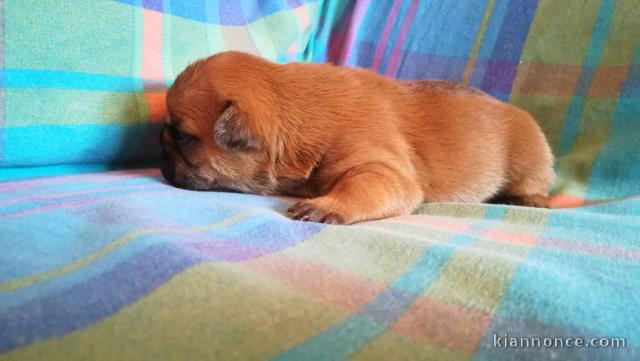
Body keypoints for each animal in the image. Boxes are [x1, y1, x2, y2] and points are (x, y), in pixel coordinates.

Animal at [160, 50, 556, 224]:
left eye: (182, 135)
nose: (160, 146)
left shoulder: (381, 169)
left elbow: (359, 187)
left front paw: (327, 205)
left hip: (528, 161)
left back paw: (530, 200)